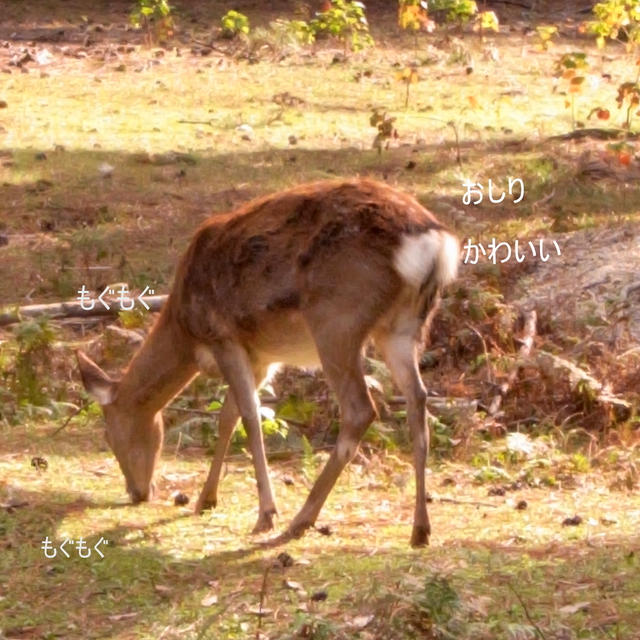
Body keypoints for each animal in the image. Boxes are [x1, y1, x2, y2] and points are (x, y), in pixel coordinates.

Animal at [76, 178, 460, 548]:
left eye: (108, 435)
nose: (137, 492)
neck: (185, 330)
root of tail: (434, 245)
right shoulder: (261, 358)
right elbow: (229, 416)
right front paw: (206, 499)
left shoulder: (224, 337)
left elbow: (248, 415)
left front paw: (265, 512)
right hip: (402, 328)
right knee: (418, 401)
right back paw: (420, 529)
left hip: (337, 320)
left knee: (360, 409)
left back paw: (301, 519)